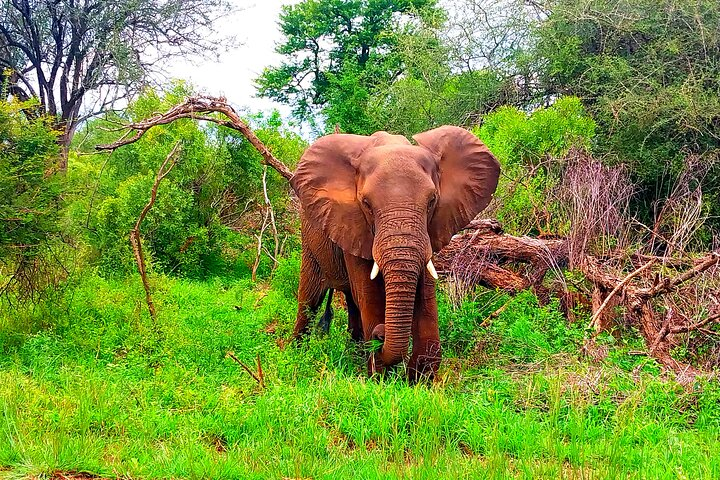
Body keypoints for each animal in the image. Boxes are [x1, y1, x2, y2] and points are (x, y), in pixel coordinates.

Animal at [290, 125, 498, 380]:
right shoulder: (354, 225)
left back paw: (354, 352)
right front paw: (380, 380)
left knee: (351, 303)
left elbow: (425, 295)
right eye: (366, 204)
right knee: (309, 302)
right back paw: (296, 353)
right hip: (310, 243)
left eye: (432, 201)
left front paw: (418, 382)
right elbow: (370, 296)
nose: (381, 334)